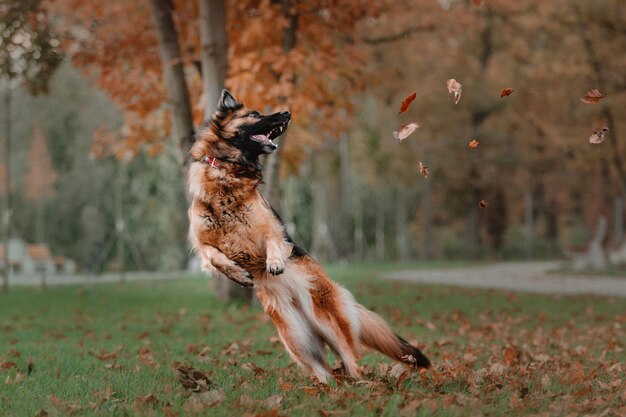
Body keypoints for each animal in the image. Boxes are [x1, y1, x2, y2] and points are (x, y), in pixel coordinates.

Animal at [186, 89, 428, 382]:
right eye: (254, 114)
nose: (287, 112)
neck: (227, 175)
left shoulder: (272, 228)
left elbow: (273, 242)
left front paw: (274, 262)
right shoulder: (200, 241)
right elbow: (213, 256)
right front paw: (238, 274)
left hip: (325, 321)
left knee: (350, 359)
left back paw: (360, 383)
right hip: (295, 338)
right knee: (324, 369)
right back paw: (326, 386)